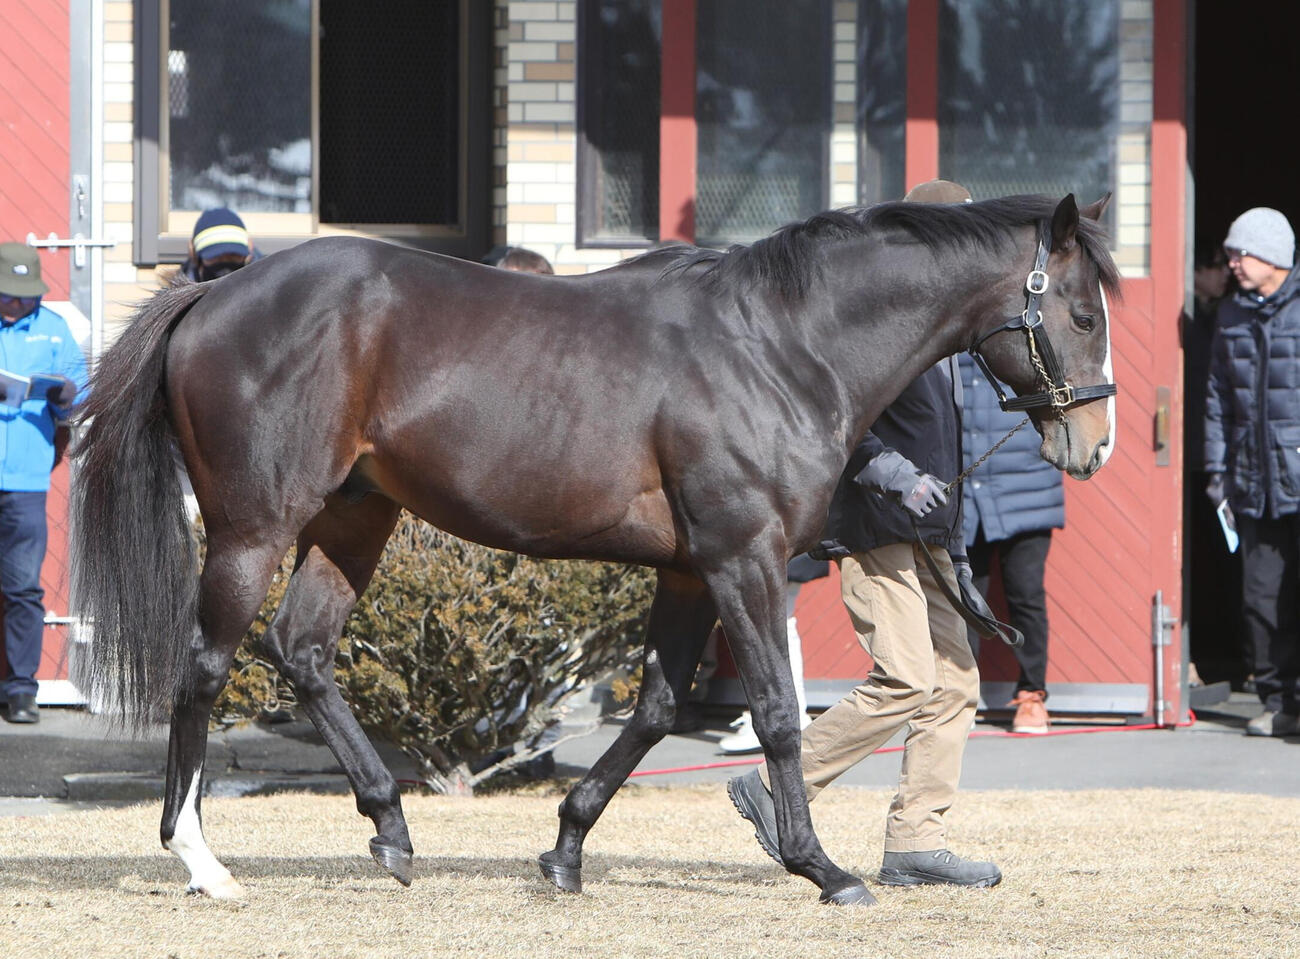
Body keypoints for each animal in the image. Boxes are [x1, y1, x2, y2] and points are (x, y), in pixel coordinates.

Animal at [71, 192, 1119, 906]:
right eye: (1081, 312)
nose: (1094, 445)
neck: (780, 345)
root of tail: (215, 296)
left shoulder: (691, 568)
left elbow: (655, 706)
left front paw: (566, 847)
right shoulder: (743, 555)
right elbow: (778, 712)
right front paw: (820, 866)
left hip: (353, 518)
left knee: (304, 648)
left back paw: (392, 829)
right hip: (255, 528)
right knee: (205, 668)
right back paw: (201, 858)